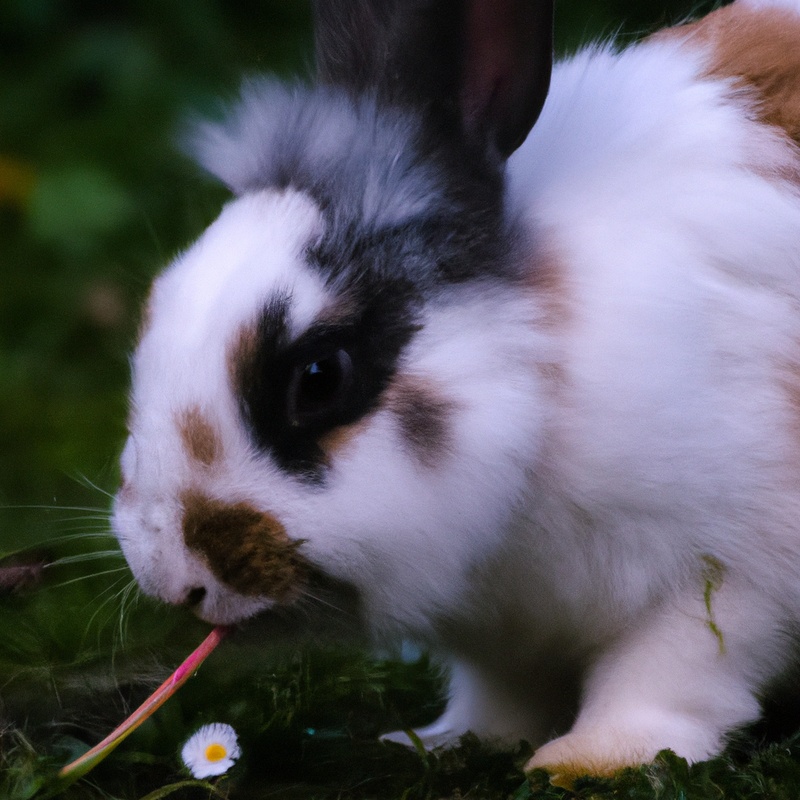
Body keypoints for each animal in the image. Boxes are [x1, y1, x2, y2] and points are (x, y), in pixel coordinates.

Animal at [112, 0, 800, 782]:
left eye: (320, 378)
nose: (172, 579)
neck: (543, 376)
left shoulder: (722, 575)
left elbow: (665, 674)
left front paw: (588, 762)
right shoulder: (500, 635)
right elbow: (499, 693)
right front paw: (454, 741)